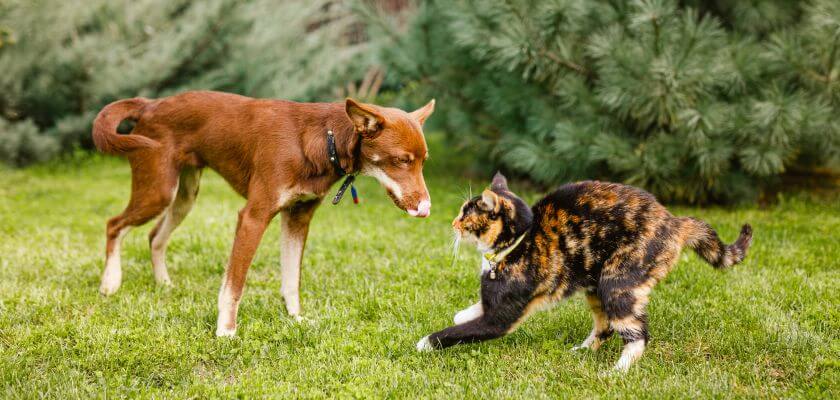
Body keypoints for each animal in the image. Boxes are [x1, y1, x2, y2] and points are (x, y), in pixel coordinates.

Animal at [92, 90, 434, 334]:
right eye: (401, 160)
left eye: (423, 162)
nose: (426, 207)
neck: (323, 138)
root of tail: (151, 104)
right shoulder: (253, 217)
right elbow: (234, 285)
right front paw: (226, 331)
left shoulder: (298, 217)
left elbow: (291, 279)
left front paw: (296, 319)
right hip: (159, 190)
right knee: (113, 224)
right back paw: (110, 283)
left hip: (183, 196)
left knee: (154, 236)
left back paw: (163, 284)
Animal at [416, 172, 752, 372]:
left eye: (465, 213)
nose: (452, 223)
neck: (519, 242)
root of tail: (674, 221)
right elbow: (471, 313)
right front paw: (462, 313)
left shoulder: (501, 318)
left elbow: (463, 331)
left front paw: (426, 343)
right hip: (594, 283)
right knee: (605, 326)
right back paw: (583, 350)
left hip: (617, 281)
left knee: (637, 333)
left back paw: (618, 371)